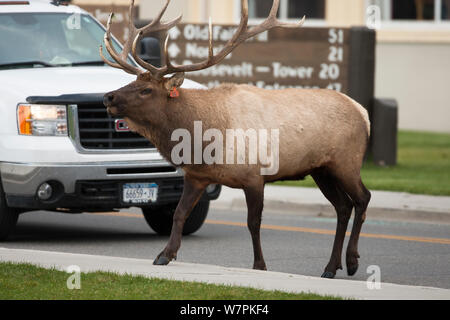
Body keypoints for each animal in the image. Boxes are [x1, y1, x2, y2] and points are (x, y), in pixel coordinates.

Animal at [102, 0, 372, 278]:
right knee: (343, 207)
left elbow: (253, 223)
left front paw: (260, 265)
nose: (108, 97)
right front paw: (164, 255)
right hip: (321, 169)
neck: (204, 142)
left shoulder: (254, 176)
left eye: (146, 90)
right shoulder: (196, 176)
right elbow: (179, 213)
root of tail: (362, 112)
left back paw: (352, 261)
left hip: (346, 161)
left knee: (363, 198)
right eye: (132, 81)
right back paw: (331, 267)